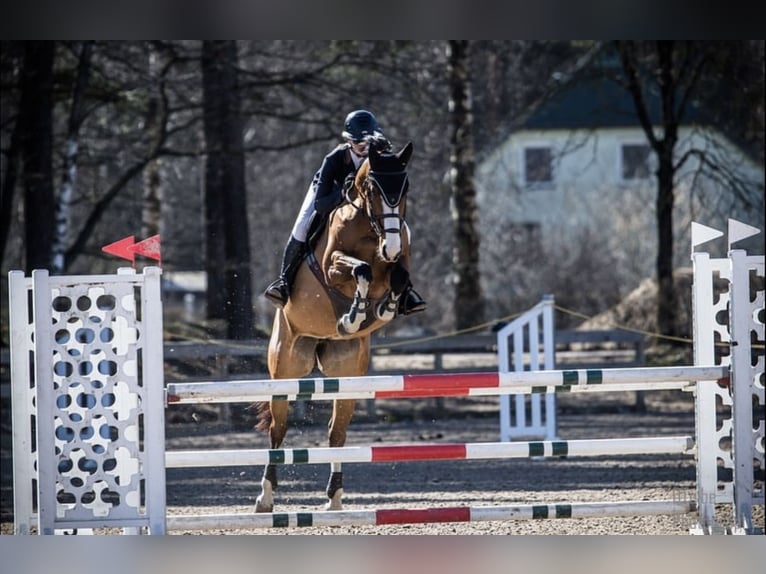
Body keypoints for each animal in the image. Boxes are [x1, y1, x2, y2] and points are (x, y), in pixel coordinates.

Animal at [256, 142, 414, 516]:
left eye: (405, 189)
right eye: (373, 188)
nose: (391, 246)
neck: (371, 230)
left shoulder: (399, 259)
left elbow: (398, 276)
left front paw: (384, 307)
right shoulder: (332, 266)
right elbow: (361, 270)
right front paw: (353, 316)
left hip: (348, 372)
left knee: (336, 433)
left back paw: (335, 498)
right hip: (285, 367)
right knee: (278, 429)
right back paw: (265, 497)